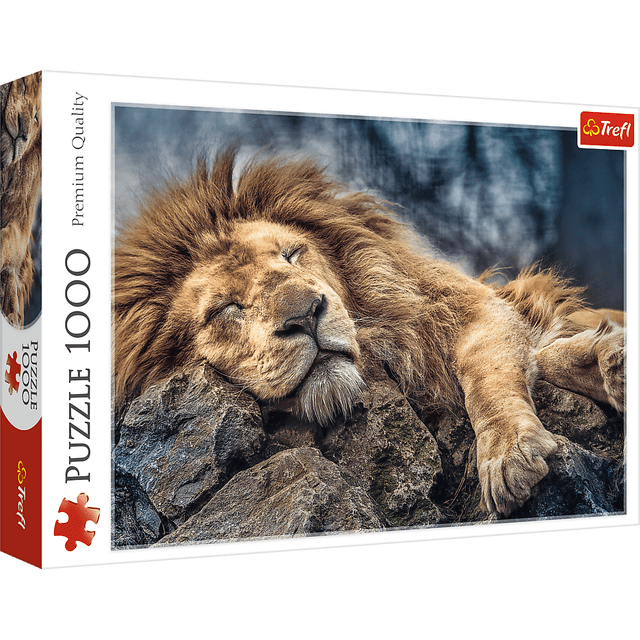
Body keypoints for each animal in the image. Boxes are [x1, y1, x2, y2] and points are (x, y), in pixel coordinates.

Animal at [114, 148, 625, 517]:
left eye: (292, 255)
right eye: (227, 308)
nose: (305, 315)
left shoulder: (468, 308)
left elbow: (489, 376)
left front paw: (510, 452)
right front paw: (604, 362)